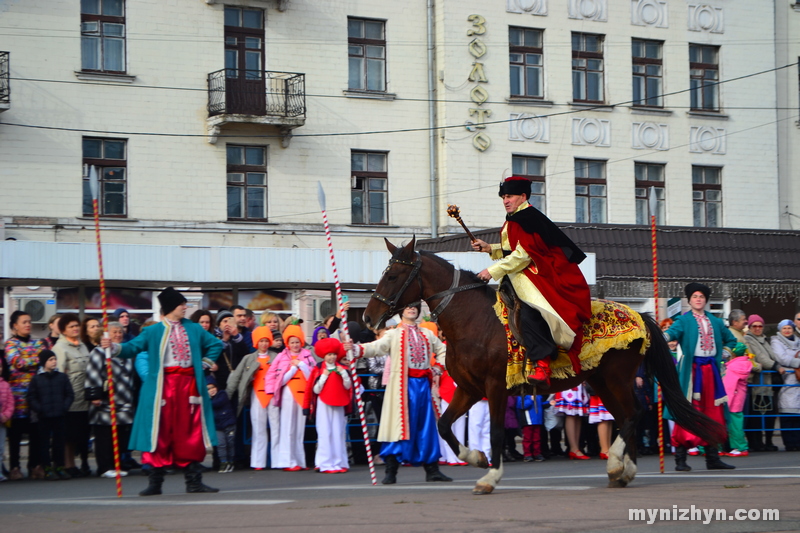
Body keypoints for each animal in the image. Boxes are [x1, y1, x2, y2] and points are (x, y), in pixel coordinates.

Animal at [366, 237, 728, 494]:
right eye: (384, 272)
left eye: (393, 275)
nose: (369, 317)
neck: (474, 320)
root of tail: (640, 315)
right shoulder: (469, 389)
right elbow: (443, 425)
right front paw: (476, 458)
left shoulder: (495, 387)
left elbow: (497, 432)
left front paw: (490, 476)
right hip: (602, 382)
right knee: (628, 417)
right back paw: (624, 472)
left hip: (616, 378)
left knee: (634, 414)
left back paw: (616, 464)